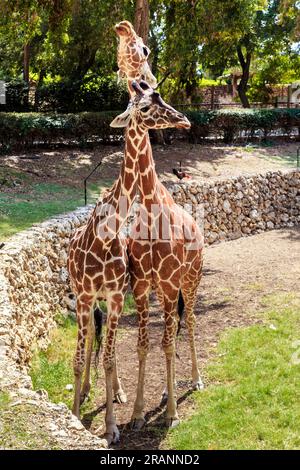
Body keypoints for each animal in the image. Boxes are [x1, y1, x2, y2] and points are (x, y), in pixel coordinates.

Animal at [111, 81, 205, 430]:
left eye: (159, 96)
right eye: (146, 106)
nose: (185, 120)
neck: (152, 211)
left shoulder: (167, 284)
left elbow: (166, 342)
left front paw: (172, 415)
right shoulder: (140, 286)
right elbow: (144, 344)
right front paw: (138, 414)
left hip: (191, 280)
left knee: (188, 321)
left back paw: (195, 380)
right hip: (170, 290)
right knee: (174, 328)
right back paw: (167, 391)